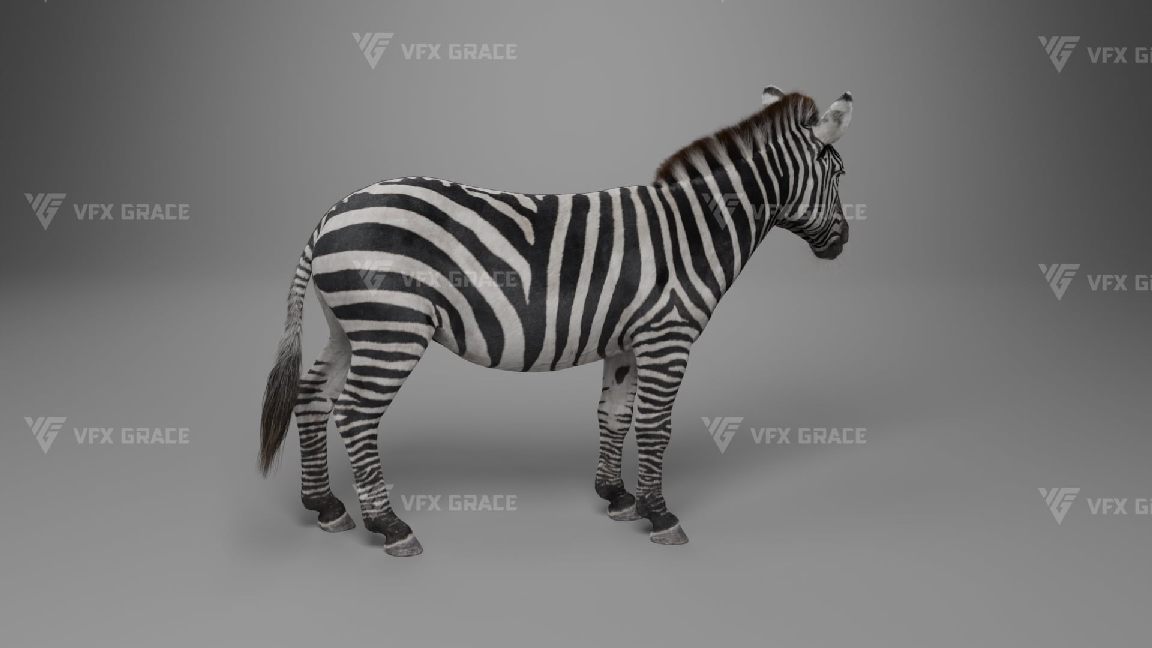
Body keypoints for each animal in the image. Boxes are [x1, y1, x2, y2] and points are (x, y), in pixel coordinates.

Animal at [259, 87, 853, 556]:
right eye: (839, 174)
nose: (845, 241)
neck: (691, 233)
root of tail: (331, 213)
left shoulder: (625, 342)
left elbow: (614, 414)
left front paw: (617, 497)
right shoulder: (668, 336)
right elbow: (655, 425)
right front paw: (661, 514)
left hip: (350, 327)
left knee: (312, 396)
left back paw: (325, 506)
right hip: (392, 330)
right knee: (356, 414)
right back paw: (388, 526)